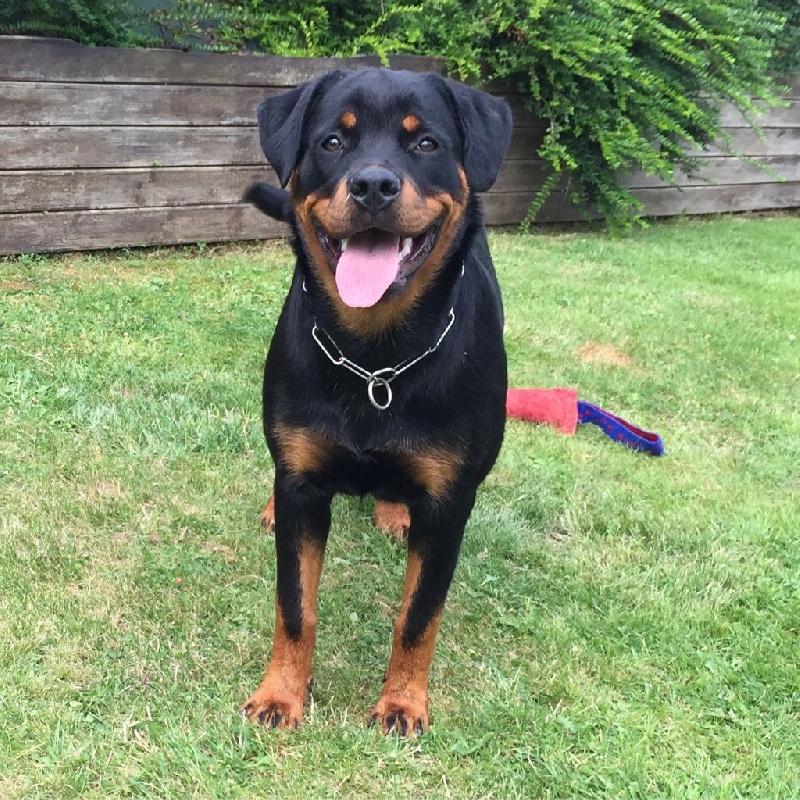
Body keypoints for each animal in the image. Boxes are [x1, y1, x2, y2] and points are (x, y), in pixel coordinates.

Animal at [240, 68, 512, 735]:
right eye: (333, 142)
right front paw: (281, 694)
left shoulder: (449, 505)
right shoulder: (303, 485)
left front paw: (402, 703)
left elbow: (418, 616)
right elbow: (295, 605)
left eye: (426, 143)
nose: (372, 185)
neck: (374, 356)